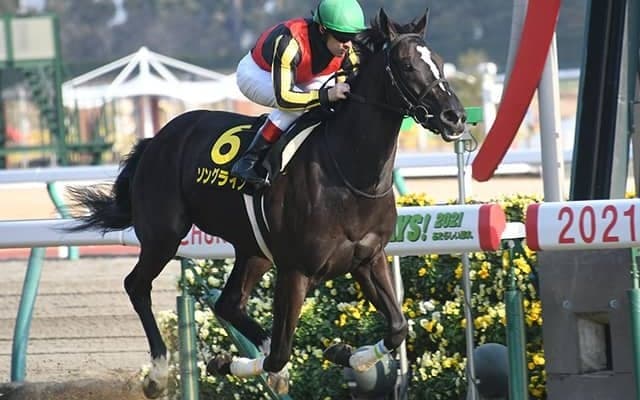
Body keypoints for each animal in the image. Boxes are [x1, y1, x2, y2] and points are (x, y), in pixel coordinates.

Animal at [67, 8, 466, 398]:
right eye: (406, 65)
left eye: (439, 62)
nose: (455, 117)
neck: (349, 174)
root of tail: (158, 138)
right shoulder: (295, 270)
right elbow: (280, 353)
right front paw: (226, 363)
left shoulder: (368, 258)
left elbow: (397, 327)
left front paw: (343, 353)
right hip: (164, 234)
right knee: (137, 286)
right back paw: (158, 375)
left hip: (253, 249)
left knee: (228, 302)